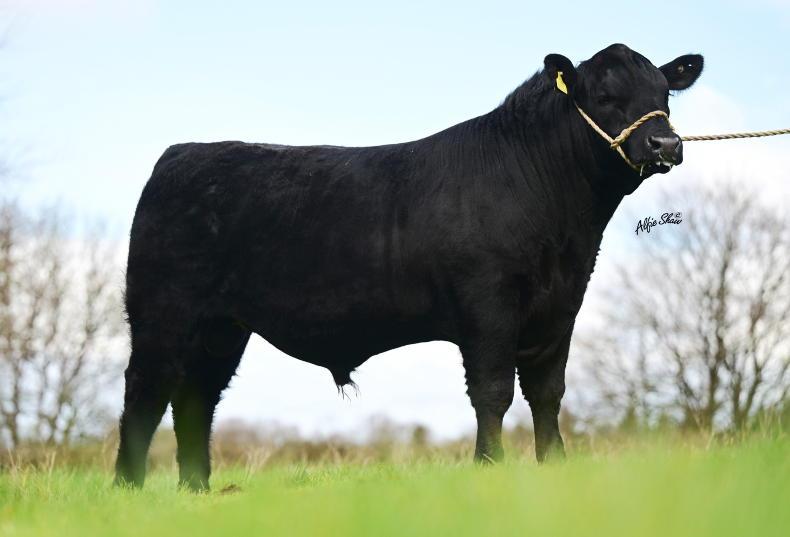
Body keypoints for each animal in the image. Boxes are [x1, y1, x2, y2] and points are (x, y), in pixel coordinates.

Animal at [114, 43, 703, 491]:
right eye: (605, 96)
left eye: (664, 95)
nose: (665, 143)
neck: (566, 231)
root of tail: (182, 154)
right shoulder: (488, 303)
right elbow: (493, 390)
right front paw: (489, 467)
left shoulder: (560, 306)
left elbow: (547, 392)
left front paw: (555, 466)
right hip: (163, 311)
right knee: (146, 390)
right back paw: (129, 486)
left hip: (222, 327)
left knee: (197, 398)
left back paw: (197, 489)